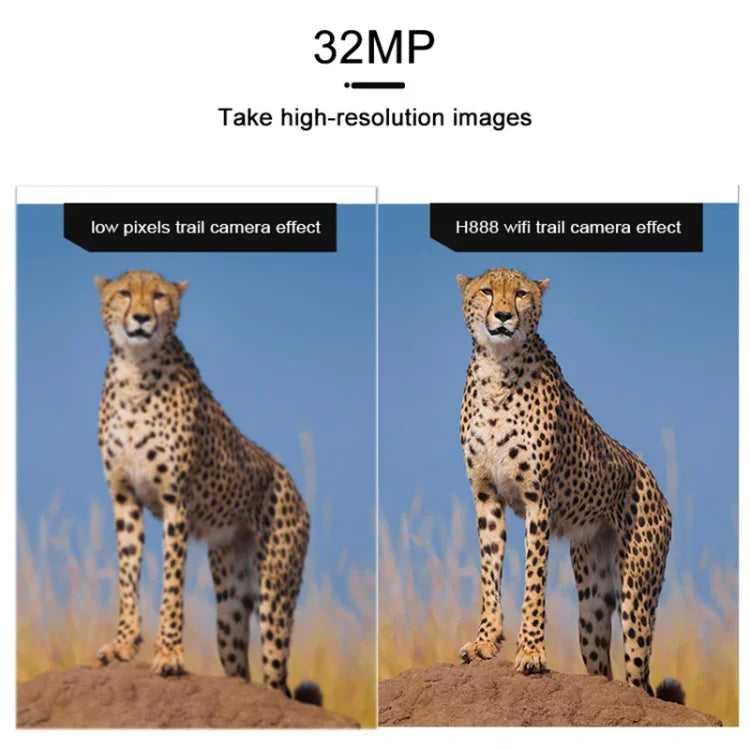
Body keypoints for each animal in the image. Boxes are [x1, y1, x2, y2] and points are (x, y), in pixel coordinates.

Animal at [94, 269, 319, 704]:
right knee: (240, 666)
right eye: (125, 293)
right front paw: (124, 644)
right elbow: (127, 573)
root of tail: (292, 485)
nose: (142, 318)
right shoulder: (124, 498)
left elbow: (171, 583)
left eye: (159, 296)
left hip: (275, 594)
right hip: (230, 602)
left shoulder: (175, 503)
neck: (135, 371)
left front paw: (167, 655)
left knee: (275, 676)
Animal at [456, 267, 681, 702]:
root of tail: (653, 480)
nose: (504, 316)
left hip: (637, 596)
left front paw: (530, 652)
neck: (497, 370)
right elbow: (489, 571)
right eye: (487, 291)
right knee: (602, 665)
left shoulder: (537, 500)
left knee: (637, 675)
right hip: (592, 603)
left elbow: (533, 580)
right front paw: (486, 641)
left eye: (521, 294)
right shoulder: (486, 496)